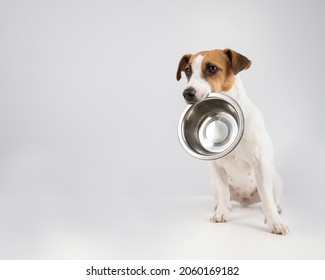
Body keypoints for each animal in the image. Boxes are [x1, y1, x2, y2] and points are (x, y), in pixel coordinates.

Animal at [176, 48, 288, 234]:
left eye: (212, 68)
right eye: (188, 70)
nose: (187, 93)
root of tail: (245, 200)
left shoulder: (260, 165)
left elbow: (266, 197)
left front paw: (274, 221)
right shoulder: (217, 168)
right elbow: (223, 192)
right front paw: (222, 212)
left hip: (275, 180)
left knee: (272, 197)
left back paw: (277, 208)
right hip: (213, 183)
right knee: (224, 196)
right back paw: (221, 206)